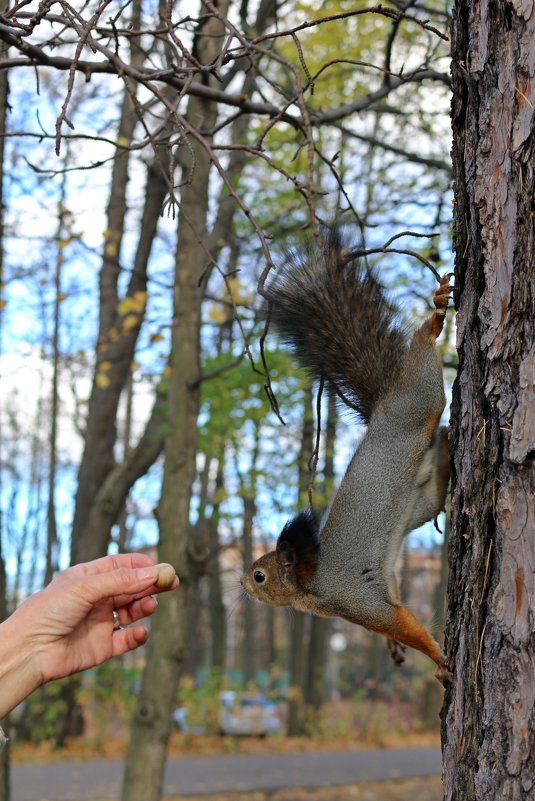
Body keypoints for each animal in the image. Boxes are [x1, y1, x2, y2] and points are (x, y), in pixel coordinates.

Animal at [245, 225, 454, 680]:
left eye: (260, 575)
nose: (241, 586)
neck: (310, 585)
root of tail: (383, 406)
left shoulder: (357, 600)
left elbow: (402, 623)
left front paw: (438, 657)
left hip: (417, 401)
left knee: (425, 367)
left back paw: (434, 317)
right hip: (424, 498)